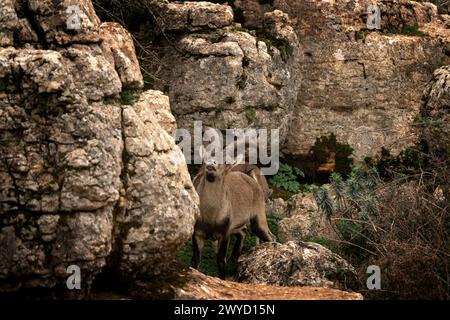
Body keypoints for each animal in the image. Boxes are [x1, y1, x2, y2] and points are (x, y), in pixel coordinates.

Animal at [192, 147, 272, 278]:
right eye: (206, 156)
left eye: (226, 162)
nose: (212, 163)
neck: (210, 217)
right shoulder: (198, 233)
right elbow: (196, 260)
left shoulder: (224, 234)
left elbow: (220, 260)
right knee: (243, 232)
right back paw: (234, 259)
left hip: (259, 218)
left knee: (269, 236)